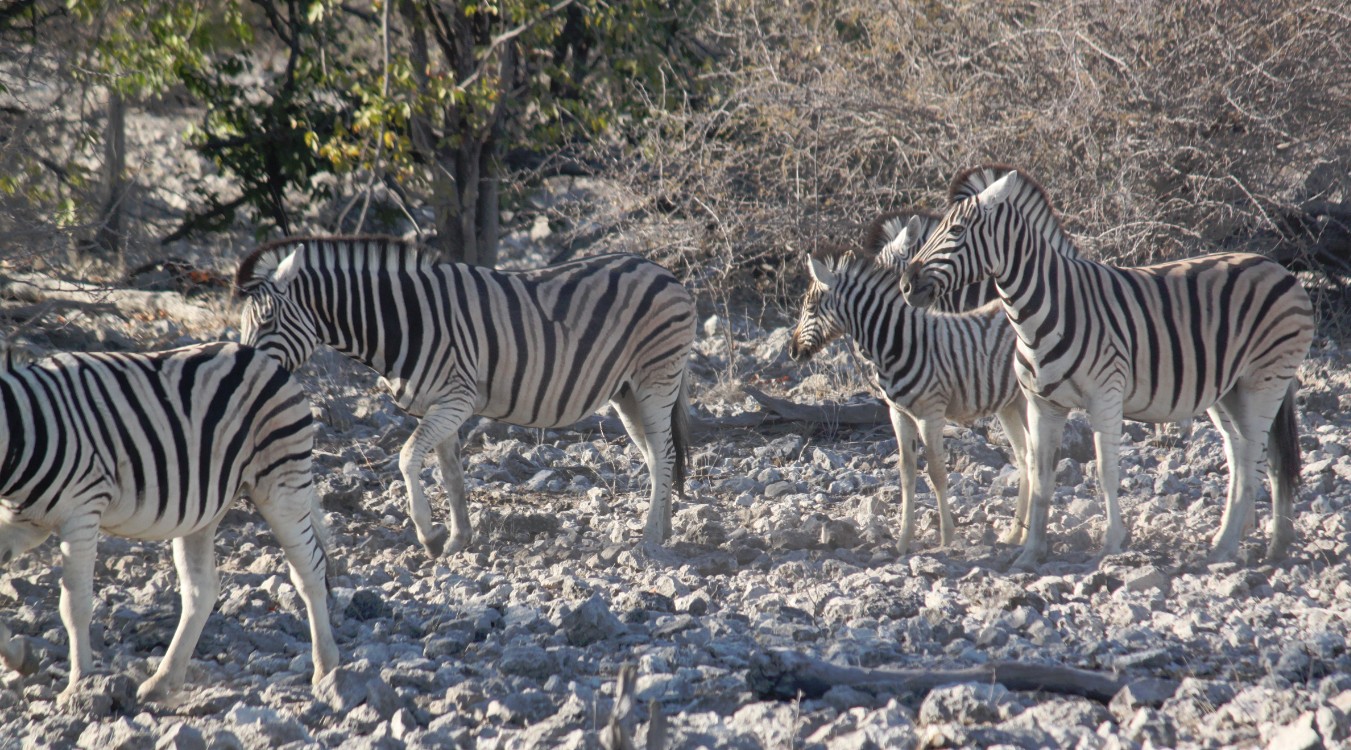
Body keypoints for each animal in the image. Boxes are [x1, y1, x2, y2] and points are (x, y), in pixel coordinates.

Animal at [0, 343, 337, 702]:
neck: (21, 430)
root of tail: (260, 355)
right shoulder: (23, 522)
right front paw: (20, 656)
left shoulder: (82, 510)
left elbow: (74, 604)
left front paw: (79, 685)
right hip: (204, 508)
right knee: (202, 590)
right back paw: (163, 680)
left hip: (282, 484)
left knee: (310, 569)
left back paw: (326, 668)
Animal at [235, 235, 697, 556]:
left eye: (268, 320)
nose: (246, 373)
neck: (402, 323)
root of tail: (664, 270)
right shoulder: (437, 407)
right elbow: (451, 473)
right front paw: (458, 539)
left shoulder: (456, 400)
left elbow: (407, 458)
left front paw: (429, 534)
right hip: (627, 392)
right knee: (655, 456)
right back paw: (665, 530)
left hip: (655, 381)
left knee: (664, 455)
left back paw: (649, 539)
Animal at [788, 209, 1026, 551]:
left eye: (810, 306)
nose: (792, 351)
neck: (900, 340)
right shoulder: (898, 414)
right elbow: (906, 473)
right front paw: (902, 540)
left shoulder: (931, 414)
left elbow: (937, 472)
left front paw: (947, 537)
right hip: (1010, 403)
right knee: (1027, 457)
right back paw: (1017, 534)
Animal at [902, 165, 1313, 570]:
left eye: (956, 230)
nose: (907, 283)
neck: (1045, 308)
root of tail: (1280, 268)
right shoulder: (1041, 404)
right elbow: (1041, 476)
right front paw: (1030, 552)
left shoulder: (1106, 394)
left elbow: (1105, 472)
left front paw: (1112, 544)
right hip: (1229, 390)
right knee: (1250, 456)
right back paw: (1268, 544)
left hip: (1265, 379)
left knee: (1255, 458)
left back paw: (1227, 548)